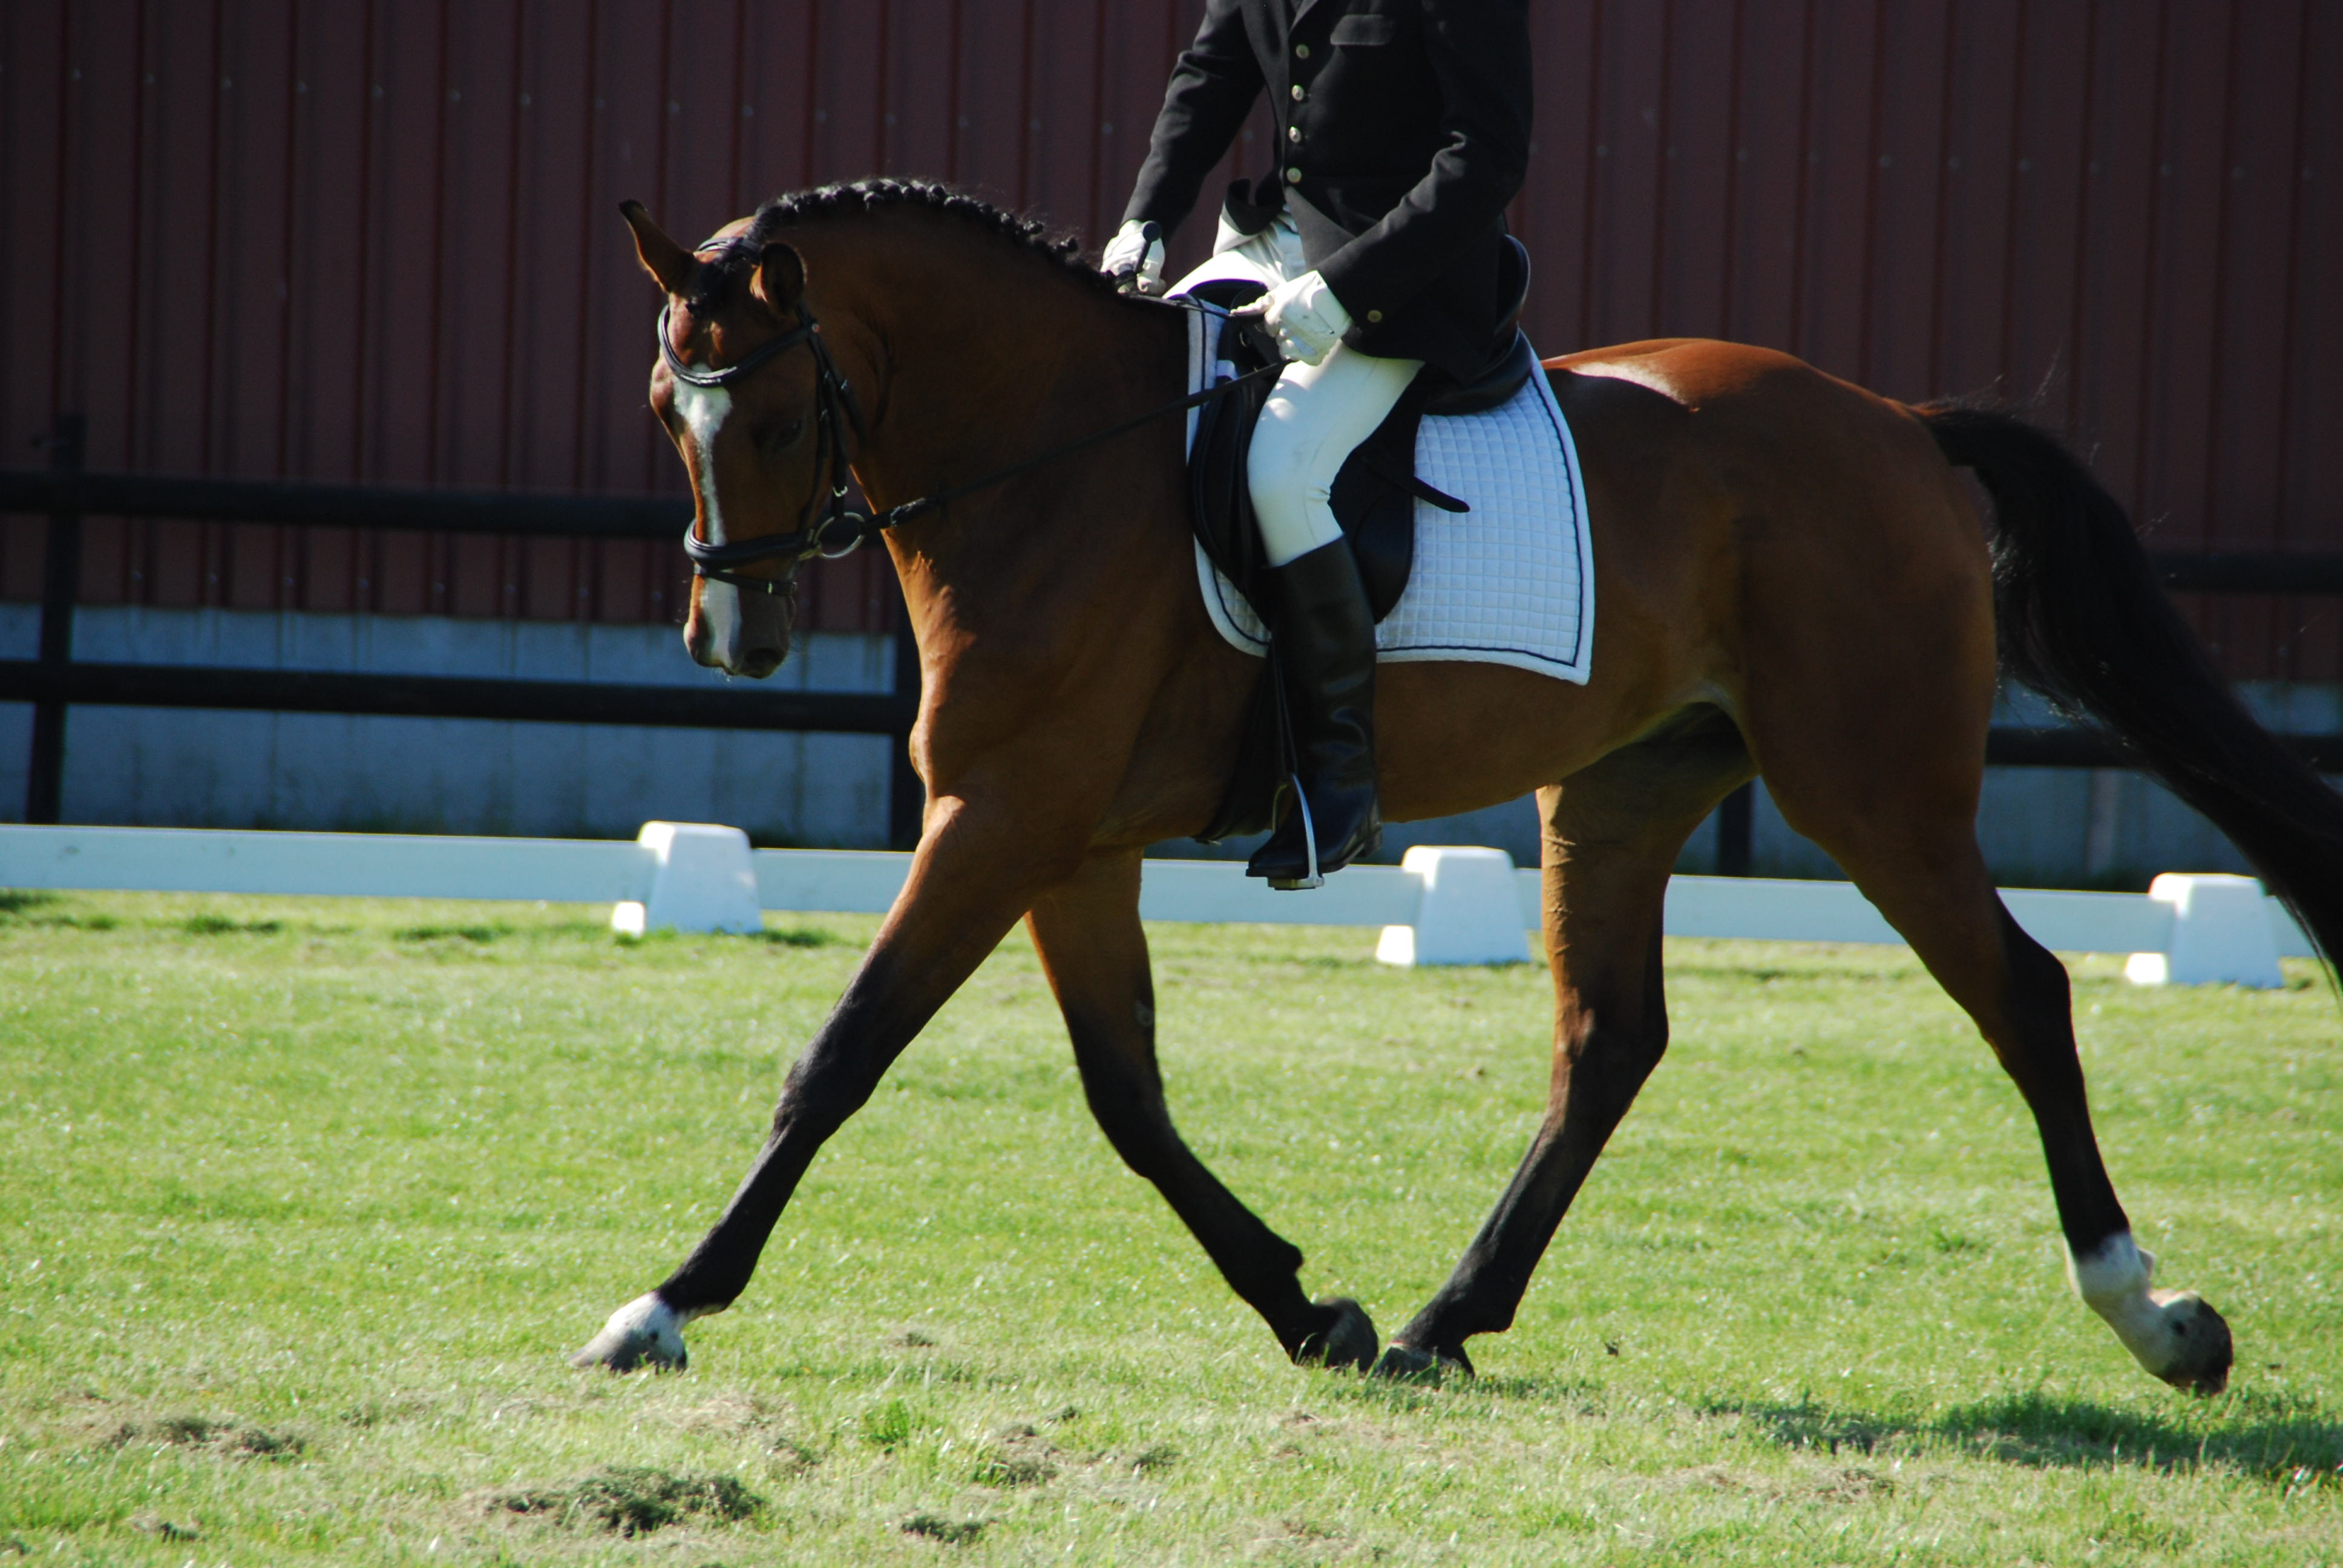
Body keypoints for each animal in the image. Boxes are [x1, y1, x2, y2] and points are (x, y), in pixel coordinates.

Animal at [571, 177, 2343, 1387]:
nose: (732, 634)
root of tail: (1895, 425)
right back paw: (1441, 1318)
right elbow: (1127, 1097)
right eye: (667, 407)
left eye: (779, 416)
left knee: (2022, 994)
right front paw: (1311, 1307)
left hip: (1874, 790)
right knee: (1610, 1040)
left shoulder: (1000, 823)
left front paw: (664, 1301)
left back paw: (2155, 1313)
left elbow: (840, 1057)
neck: (1059, 458)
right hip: (1622, 791)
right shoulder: (1064, 844)